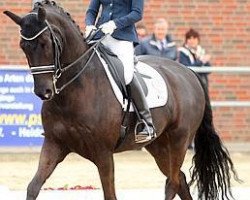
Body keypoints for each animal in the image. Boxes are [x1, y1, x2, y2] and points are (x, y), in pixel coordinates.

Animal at [4, 0, 238, 199]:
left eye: (45, 43)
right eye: (23, 46)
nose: (43, 92)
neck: (76, 89)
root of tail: (190, 73)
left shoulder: (103, 153)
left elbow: (110, 194)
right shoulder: (54, 143)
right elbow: (33, 187)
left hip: (179, 140)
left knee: (172, 182)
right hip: (159, 145)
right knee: (179, 179)